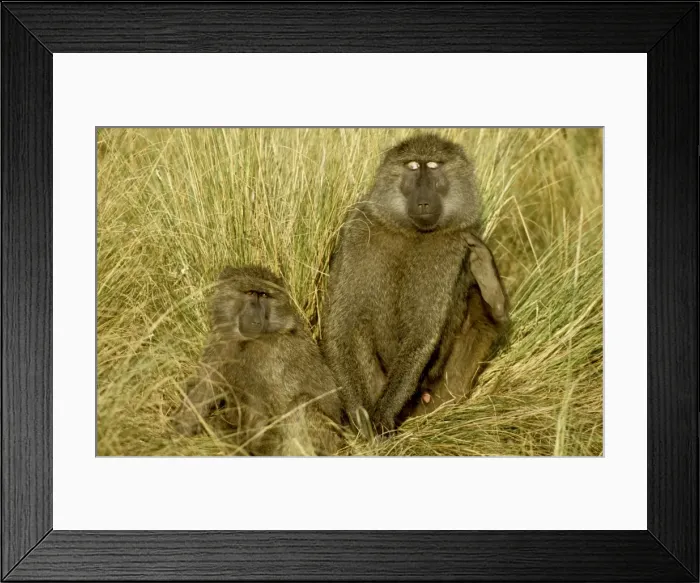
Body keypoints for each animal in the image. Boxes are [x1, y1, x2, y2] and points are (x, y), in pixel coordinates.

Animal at [170, 265, 344, 456]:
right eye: (250, 293)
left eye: (264, 295)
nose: (256, 318)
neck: (246, 342)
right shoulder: (219, 343)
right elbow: (204, 388)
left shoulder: (275, 355)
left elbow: (280, 404)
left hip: (328, 441)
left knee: (301, 404)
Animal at [320, 133, 509, 437]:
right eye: (411, 166)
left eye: (432, 167)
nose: (422, 202)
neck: (410, 231)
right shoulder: (359, 229)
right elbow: (343, 326)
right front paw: (360, 416)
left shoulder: (453, 244)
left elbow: (422, 330)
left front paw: (381, 417)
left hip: (448, 390)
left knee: (484, 316)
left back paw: (490, 288)